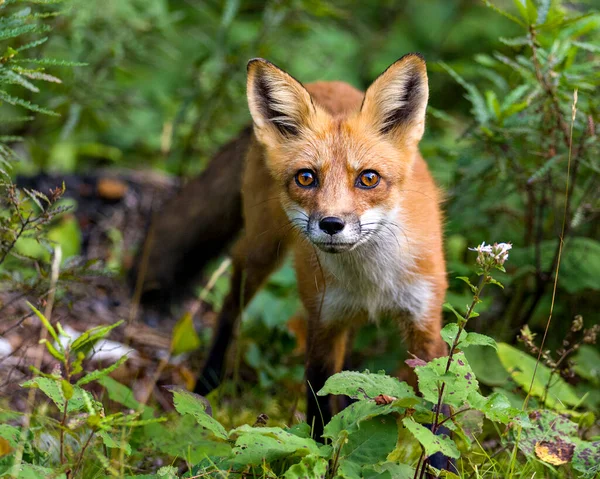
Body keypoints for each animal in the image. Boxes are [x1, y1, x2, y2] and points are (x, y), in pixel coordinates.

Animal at [134, 56, 448, 450]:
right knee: (229, 309)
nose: (331, 224)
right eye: (306, 178)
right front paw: (320, 450)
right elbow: (319, 408)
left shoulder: (425, 324)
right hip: (260, 253)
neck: (372, 281)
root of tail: (322, 83)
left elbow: (440, 418)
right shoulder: (322, 322)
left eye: (369, 179)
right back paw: (207, 383)